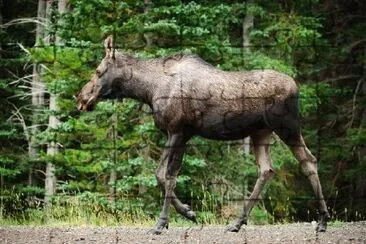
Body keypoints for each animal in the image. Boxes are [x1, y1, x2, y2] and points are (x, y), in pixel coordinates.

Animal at [76, 36, 330, 234]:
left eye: (98, 71)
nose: (80, 98)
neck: (147, 90)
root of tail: (296, 86)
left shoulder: (178, 130)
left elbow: (168, 175)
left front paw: (161, 223)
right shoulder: (177, 134)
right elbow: (161, 175)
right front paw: (188, 212)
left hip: (287, 126)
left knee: (308, 160)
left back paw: (323, 220)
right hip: (261, 132)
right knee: (267, 169)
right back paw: (237, 222)